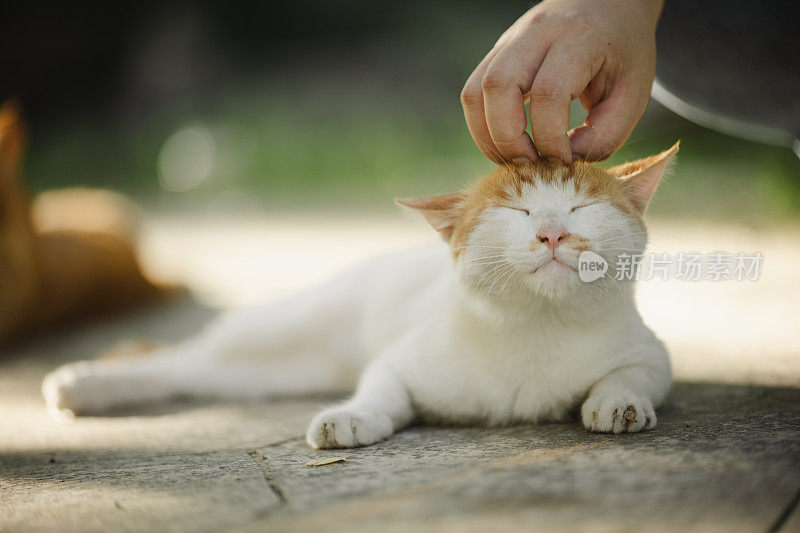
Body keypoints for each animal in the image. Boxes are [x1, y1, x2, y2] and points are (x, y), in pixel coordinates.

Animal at [43, 142, 680, 448]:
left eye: (581, 207)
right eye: (516, 212)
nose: (551, 232)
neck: (536, 329)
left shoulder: (650, 353)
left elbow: (630, 375)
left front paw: (617, 403)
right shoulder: (400, 359)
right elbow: (381, 390)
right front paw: (353, 417)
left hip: (272, 372)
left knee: (192, 375)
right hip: (280, 328)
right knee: (179, 356)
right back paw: (81, 382)